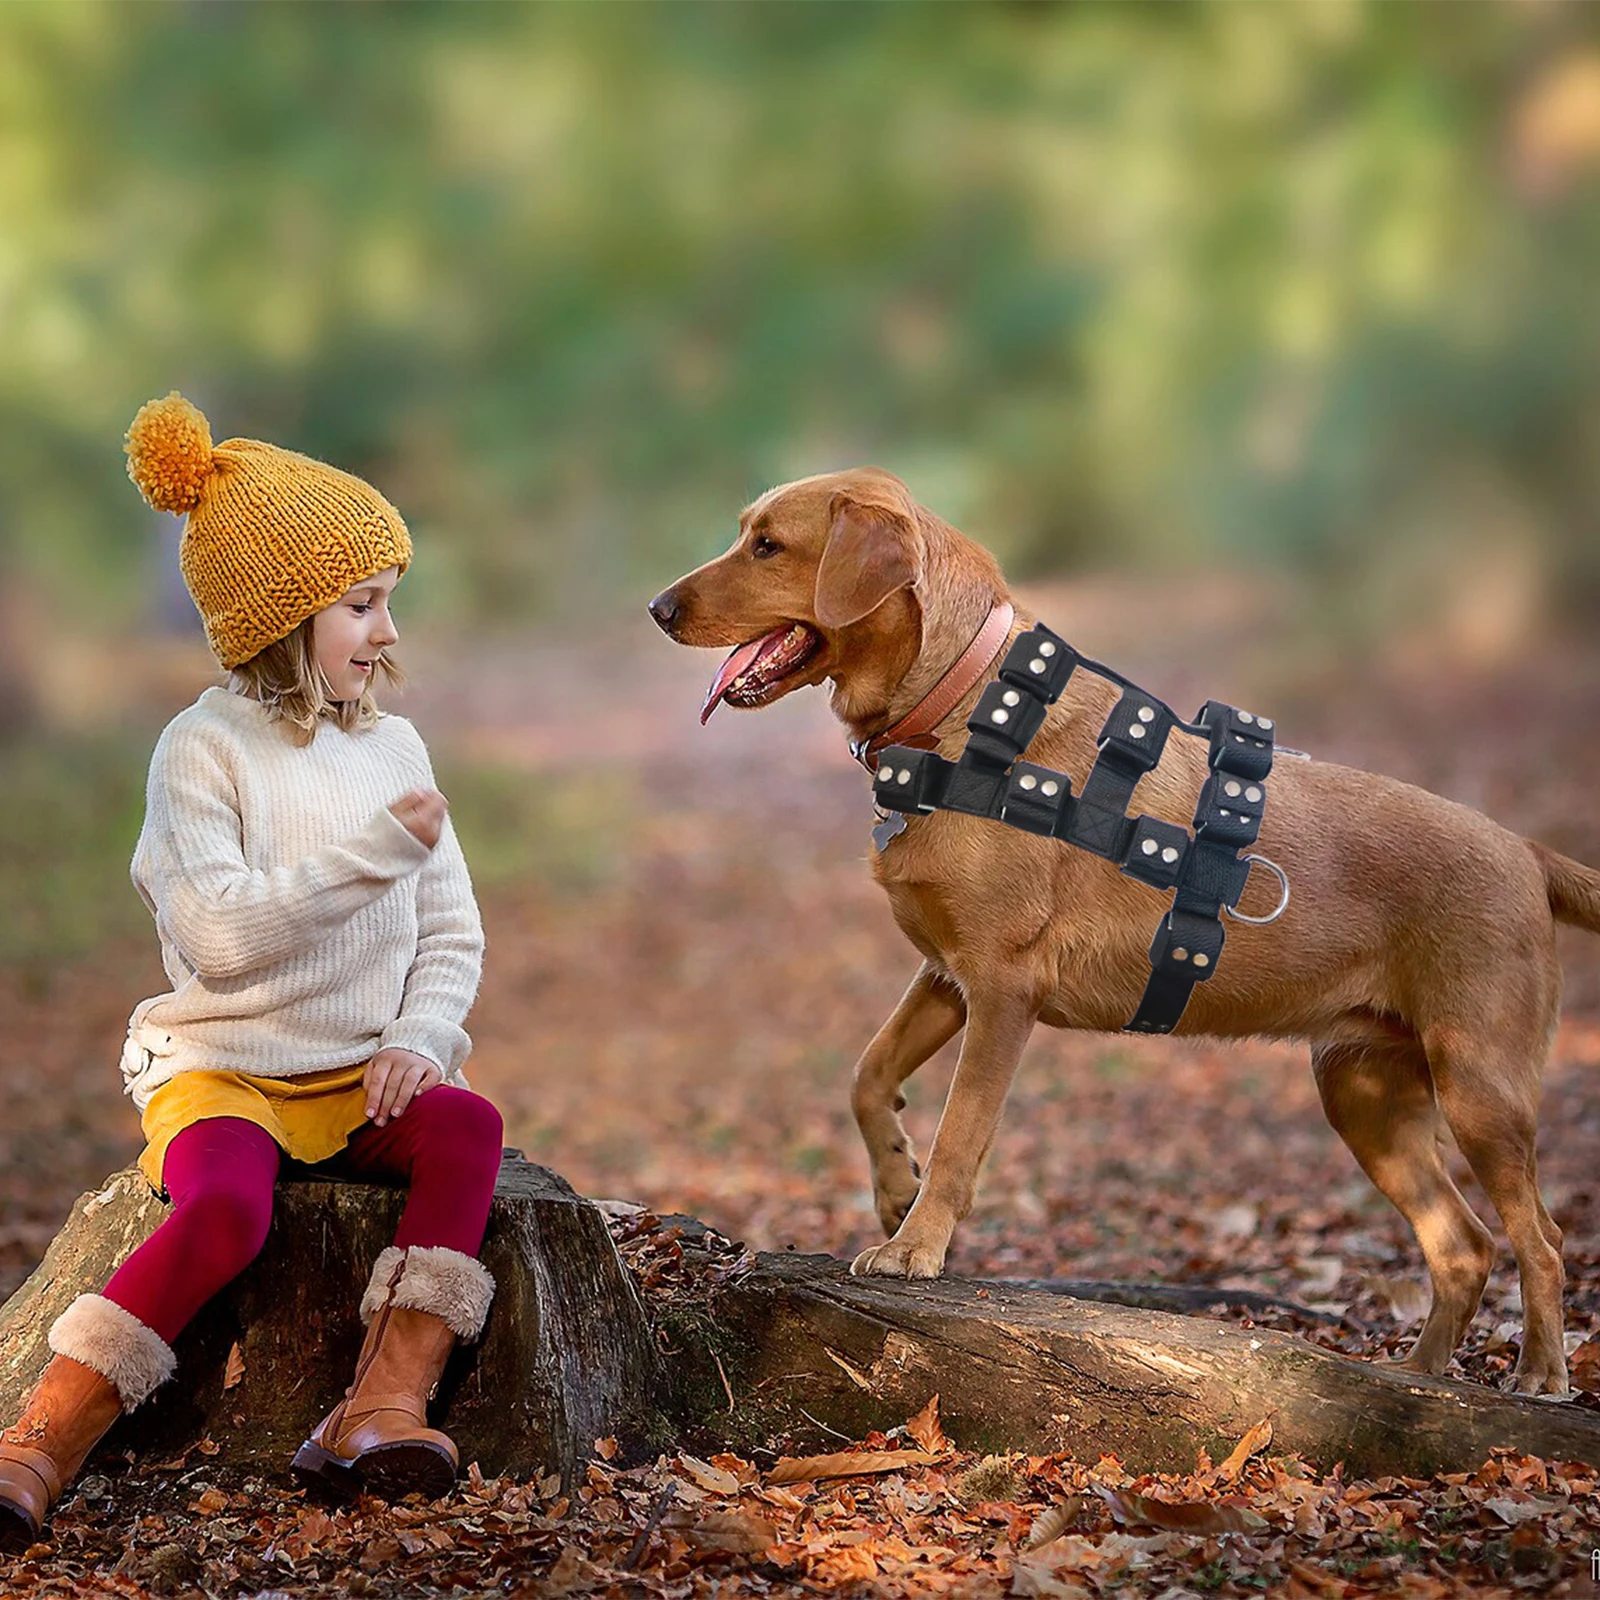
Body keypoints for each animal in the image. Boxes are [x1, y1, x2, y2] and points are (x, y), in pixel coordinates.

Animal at [649, 464, 1600, 1388]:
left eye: (769, 546)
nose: (658, 609)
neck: (964, 707)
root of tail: (1526, 852)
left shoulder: (1002, 991)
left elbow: (961, 1136)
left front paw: (917, 1243)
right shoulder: (947, 977)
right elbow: (866, 1073)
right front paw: (892, 1184)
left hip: (1479, 1089)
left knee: (1542, 1241)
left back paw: (1539, 1374)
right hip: (1364, 1095)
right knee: (1464, 1245)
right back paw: (1425, 1377)